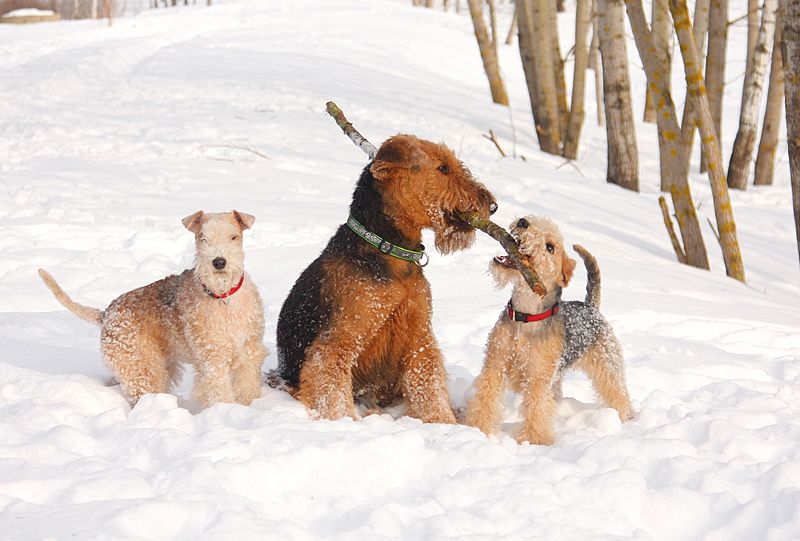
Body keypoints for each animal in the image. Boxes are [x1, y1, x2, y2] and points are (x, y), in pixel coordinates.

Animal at [39, 209, 266, 408]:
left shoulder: (249, 350)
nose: (219, 262)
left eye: (234, 237)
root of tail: (105, 314)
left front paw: (248, 406)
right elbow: (219, 391)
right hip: (142, 368)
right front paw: (227, 410)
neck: (225, 297)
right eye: (202, 238)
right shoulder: (212, 357)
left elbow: (247, 386)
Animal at [276, 135, 494, 422]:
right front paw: (345, 423)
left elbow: (431, 391)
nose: (493, 205)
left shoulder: (419, 339)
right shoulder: (336, 344)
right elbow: (334, 395)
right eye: (443, 168)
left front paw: (444, 423)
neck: (389, 250)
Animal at [468, 215, 632, 442]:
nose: (523, 222)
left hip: (607, 365)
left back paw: (626, 419)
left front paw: (533, 440)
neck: (525, 318)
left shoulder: (538, 378)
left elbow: (536, 408)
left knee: (620, 394)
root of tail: (590, 306)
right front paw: (478, 428)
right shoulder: (495, 363)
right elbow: (486, 396)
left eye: (550, 247)